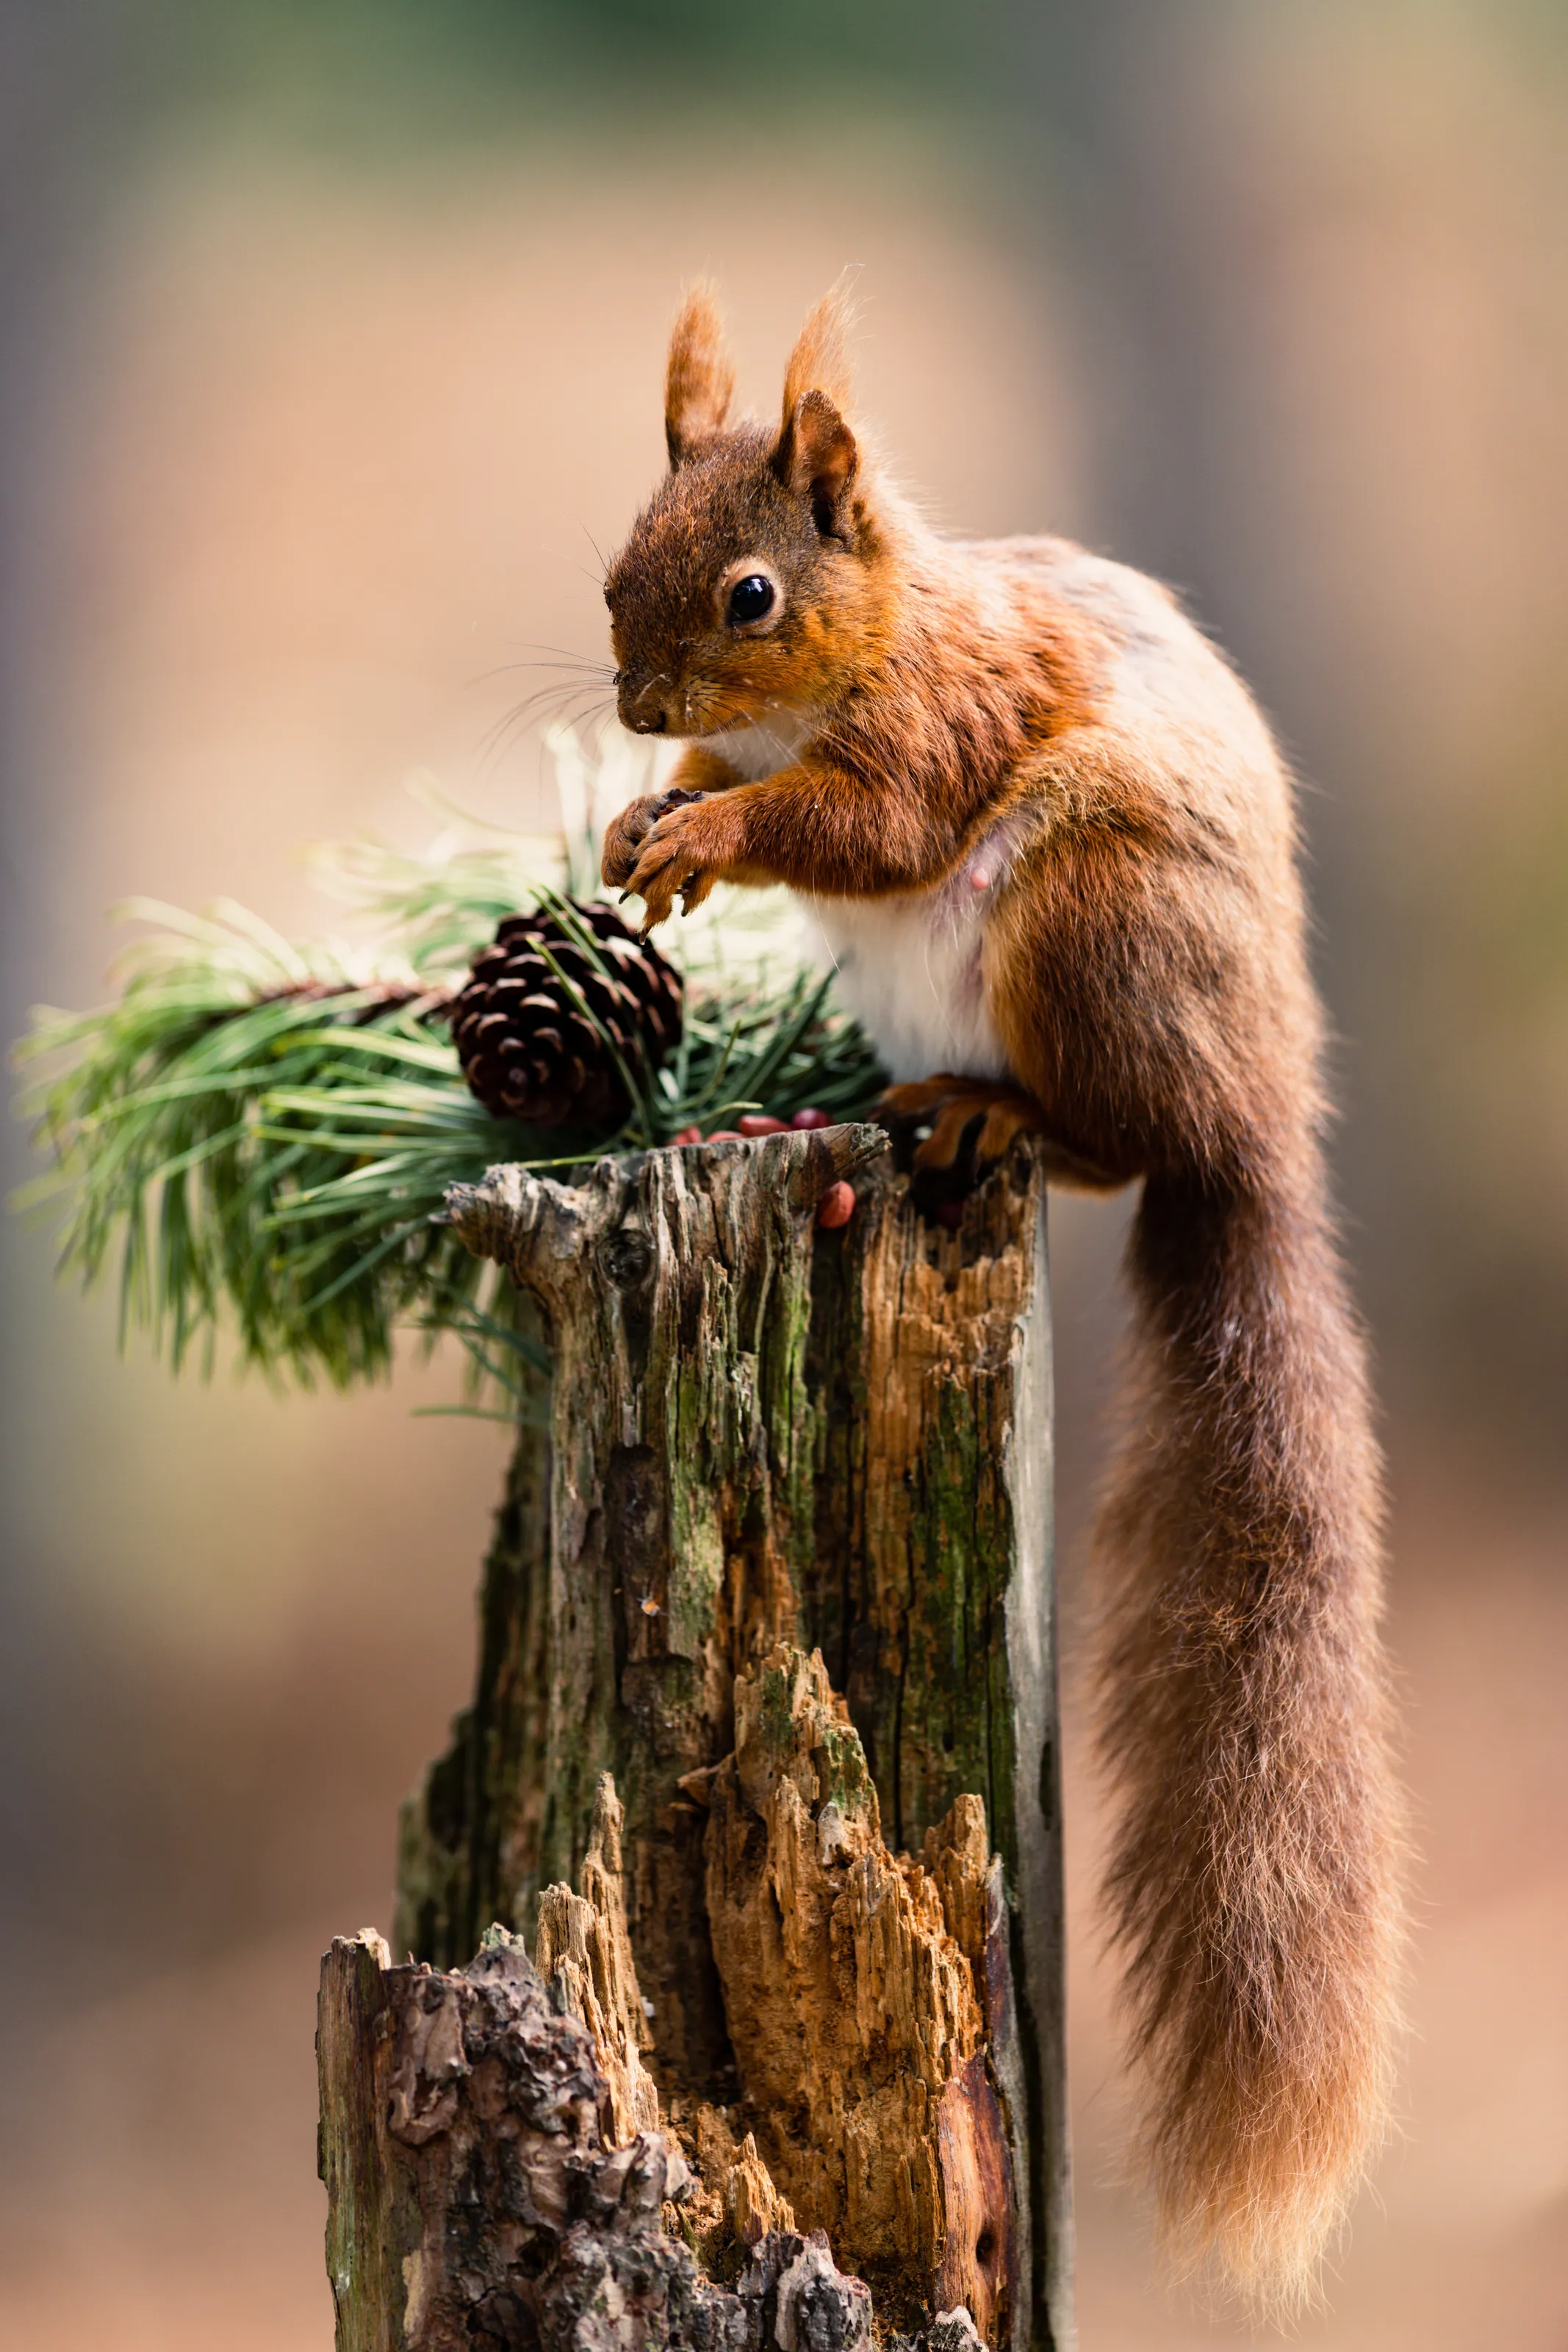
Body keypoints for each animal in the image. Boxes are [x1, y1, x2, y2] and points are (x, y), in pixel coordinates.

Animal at [598, 283, 1403, 2318]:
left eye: (746, 591)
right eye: (614, 563)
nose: (634, 709)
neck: (857, 645)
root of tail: (1251, 1115)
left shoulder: (937, 722)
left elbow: (861, 823)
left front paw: (707, 835)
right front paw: (651, 815)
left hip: (1090, 926)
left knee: (1104, 1145)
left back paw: (986, 1111)